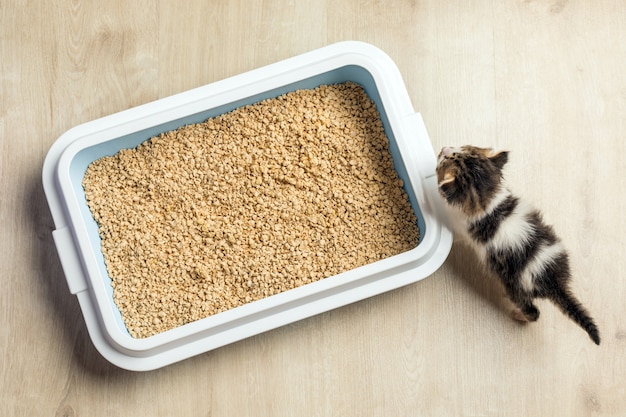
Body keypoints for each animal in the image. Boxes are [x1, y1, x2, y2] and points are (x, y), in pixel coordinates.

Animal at [434, 145, 600, 342]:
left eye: (444, 160)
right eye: (465, 147)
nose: (444, 148)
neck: (488, 202)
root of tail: (553, 282)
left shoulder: (461, 228)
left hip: (515, 287)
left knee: (533, 312)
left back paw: (518, 315)